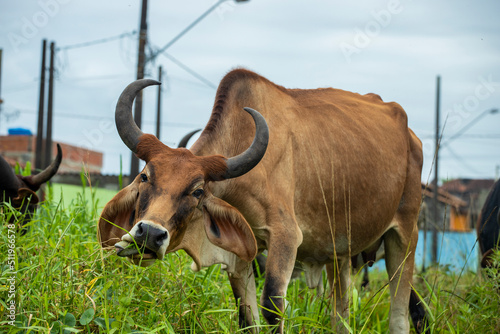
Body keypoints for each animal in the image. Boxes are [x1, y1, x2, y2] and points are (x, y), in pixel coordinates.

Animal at [98, 69, 426, 332]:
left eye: (198, 191)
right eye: (144, 176)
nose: (150, 234)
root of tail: (411, 135)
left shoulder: (285, 237)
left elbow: (271, 307)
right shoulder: (242, 254)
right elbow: (246, 317)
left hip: (404, 237)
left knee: (404, 315)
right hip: (341, 254)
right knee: (341, 315)